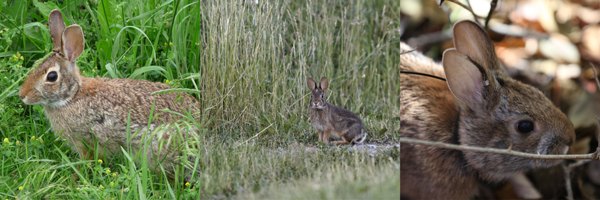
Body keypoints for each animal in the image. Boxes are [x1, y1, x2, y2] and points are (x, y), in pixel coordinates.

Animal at [18, 9, 202, 181]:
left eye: (51, 76)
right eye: (35, 65)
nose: (22, 95)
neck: (73, 96)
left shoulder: (87, 140)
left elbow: (89, 161)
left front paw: (75, 177)